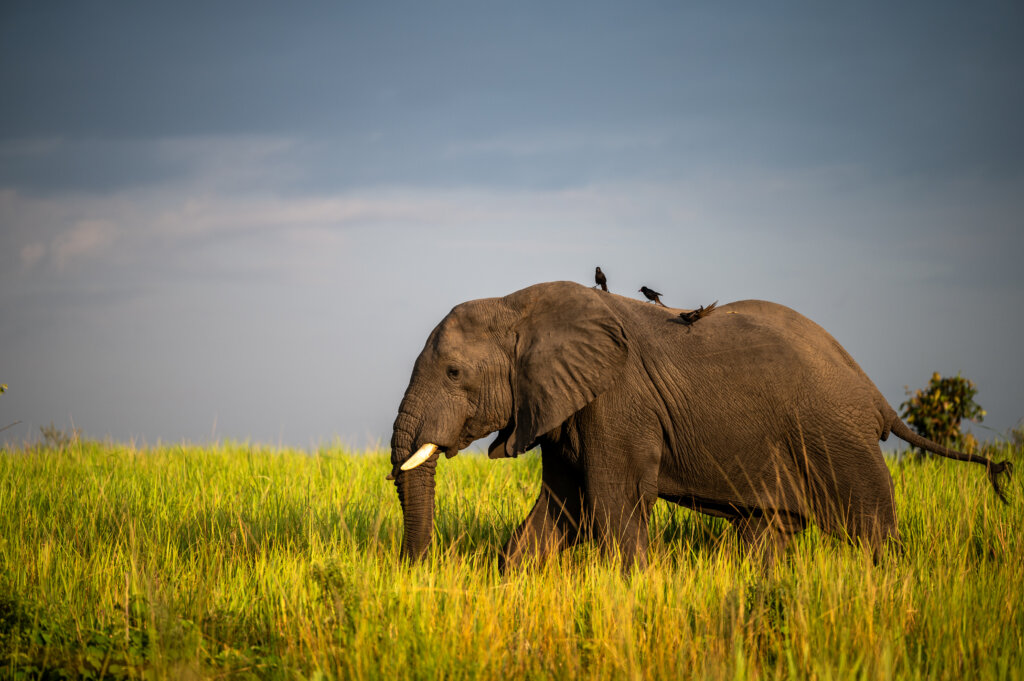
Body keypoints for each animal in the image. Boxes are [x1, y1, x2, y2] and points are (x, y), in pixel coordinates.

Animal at [387, 280, 1011, 569]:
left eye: (454, 372)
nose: (417, 571)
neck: (516, 302)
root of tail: (876, 396)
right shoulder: (562, 406)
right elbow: (559, 510)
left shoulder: (618, 401)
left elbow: (610, 501)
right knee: (768, 530)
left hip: (840, 439)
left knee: (873, 531)